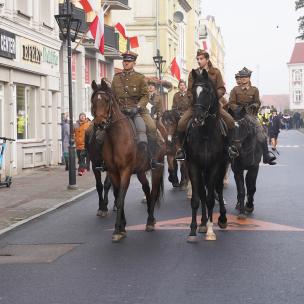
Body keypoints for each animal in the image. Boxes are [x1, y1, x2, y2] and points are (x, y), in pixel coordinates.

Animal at [90, 79, 165, 242]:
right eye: (93, 101)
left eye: (106, 100)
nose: (99, 124)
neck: (115, 137)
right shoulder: (113, 172)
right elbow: (118, 196)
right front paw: (122, 227)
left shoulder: (125, 171)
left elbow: (120, 199)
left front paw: (117, 229)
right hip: (141, 171)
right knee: (146, 189)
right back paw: (150, 217)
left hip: (157, 169)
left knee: (154, 192)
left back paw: (150, 221)